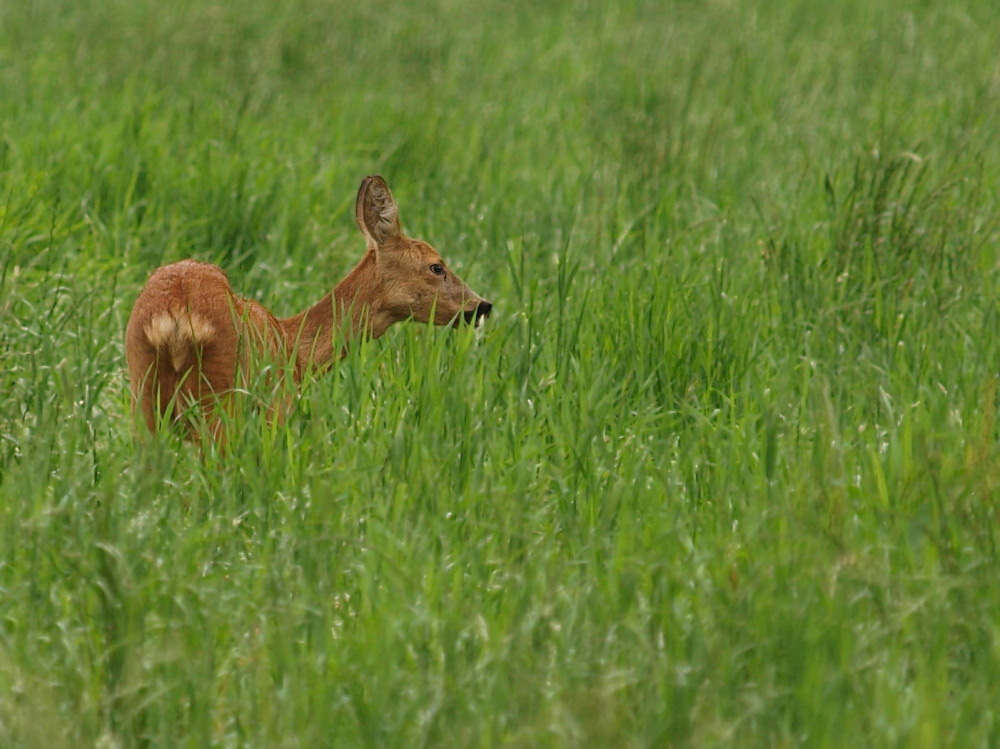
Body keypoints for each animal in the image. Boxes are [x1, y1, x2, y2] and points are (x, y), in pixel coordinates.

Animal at [125, 175, 492, 438]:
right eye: (436, 266)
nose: (481, 306)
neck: (295, 351)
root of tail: (173, 314)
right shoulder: (276, 405)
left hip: (145, 394)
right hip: (220, 395)